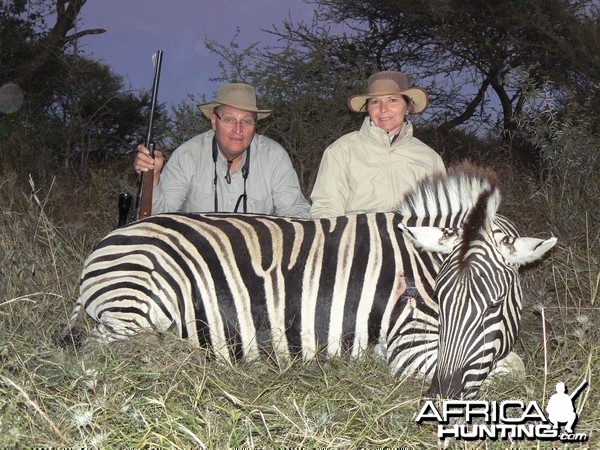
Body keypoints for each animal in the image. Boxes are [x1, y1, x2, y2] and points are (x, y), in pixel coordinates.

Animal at [62, 164, 556, 398]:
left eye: (494, 306)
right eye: (442, 299)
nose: (442, 395)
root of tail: (109, 240)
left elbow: (511, 364)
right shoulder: (410, 348)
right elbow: (515, 371)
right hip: (136, 310)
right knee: (113, 349)